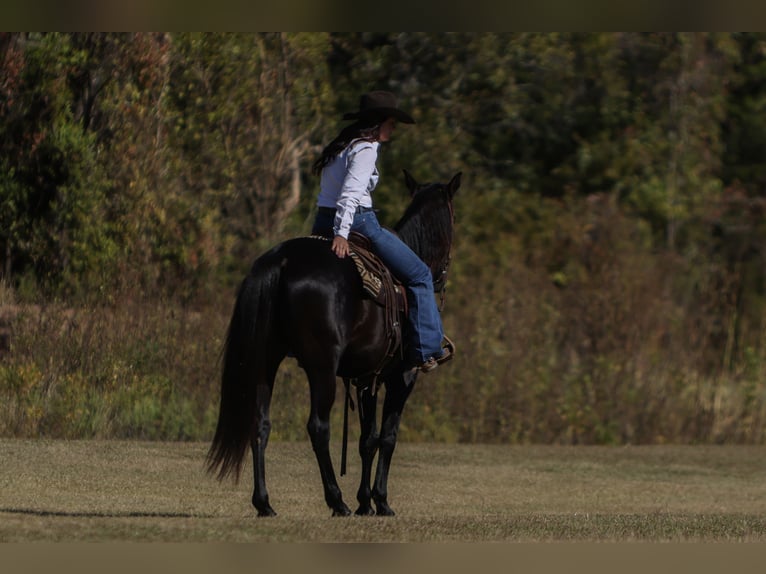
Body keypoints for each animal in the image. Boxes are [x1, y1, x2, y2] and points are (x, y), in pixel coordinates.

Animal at [206, 170, 461, 516]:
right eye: (453, 218)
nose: (442, 277)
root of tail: (281, 260)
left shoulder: (367, 379)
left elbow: (367, 439)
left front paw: (366, 502)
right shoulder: (402, 377)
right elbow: (388, 436)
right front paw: (381, 500)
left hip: (265, 361)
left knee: (260, 424)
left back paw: (264, 503)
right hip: (322, 367)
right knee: (318, 427)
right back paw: (336, 500)